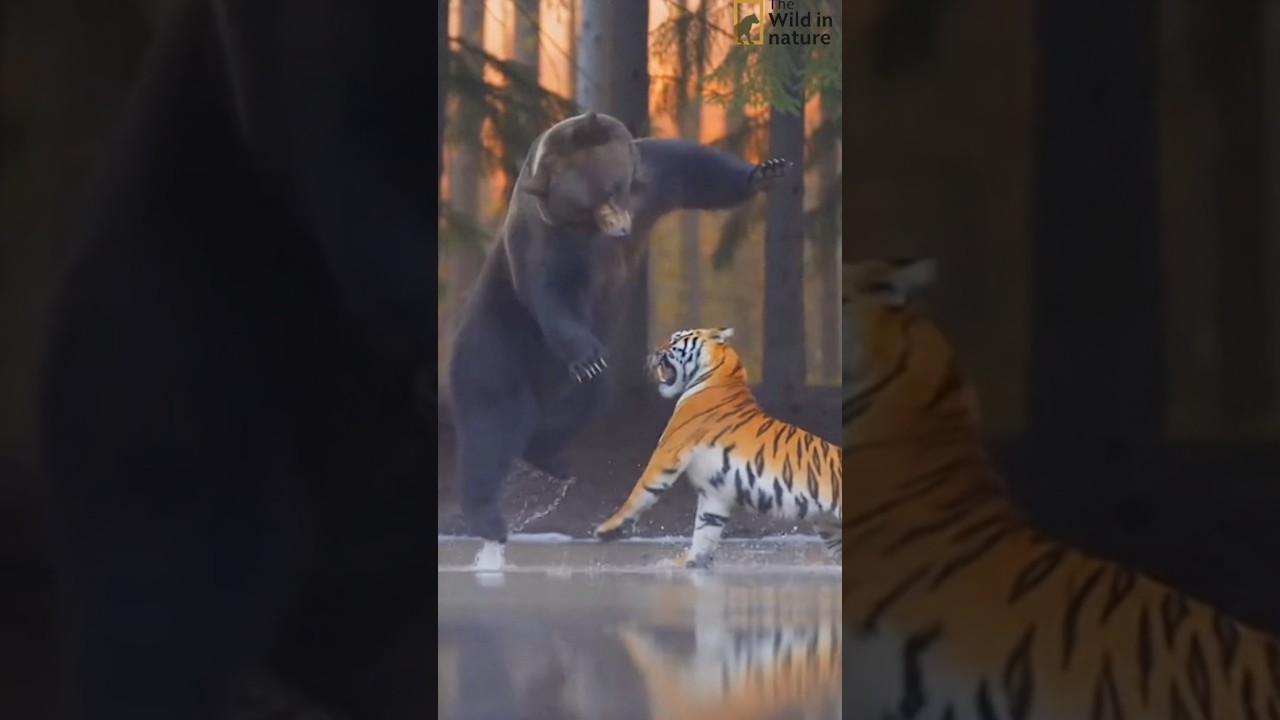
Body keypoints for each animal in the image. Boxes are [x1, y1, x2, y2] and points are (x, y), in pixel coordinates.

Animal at [447, 110, 791, 554]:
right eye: (585, 205)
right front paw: (586, 354)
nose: (619, 230)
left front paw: (766, 170)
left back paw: (551, 455)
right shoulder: (551, 239)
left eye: (610, 190)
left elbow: (696, 170)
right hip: (499, 338)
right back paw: (488, 516)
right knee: (492, 419)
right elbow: (553, 291)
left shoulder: (650, 185)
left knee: (587, 399)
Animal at [593, 327, 843, 568]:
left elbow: (639, 492)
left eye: (675, 340)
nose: (654, 351)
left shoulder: (667, 452)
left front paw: (608, 529)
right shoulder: (715, 494)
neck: (723, 373)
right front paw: (688, 562)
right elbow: (705, 532)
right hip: (829, 528)